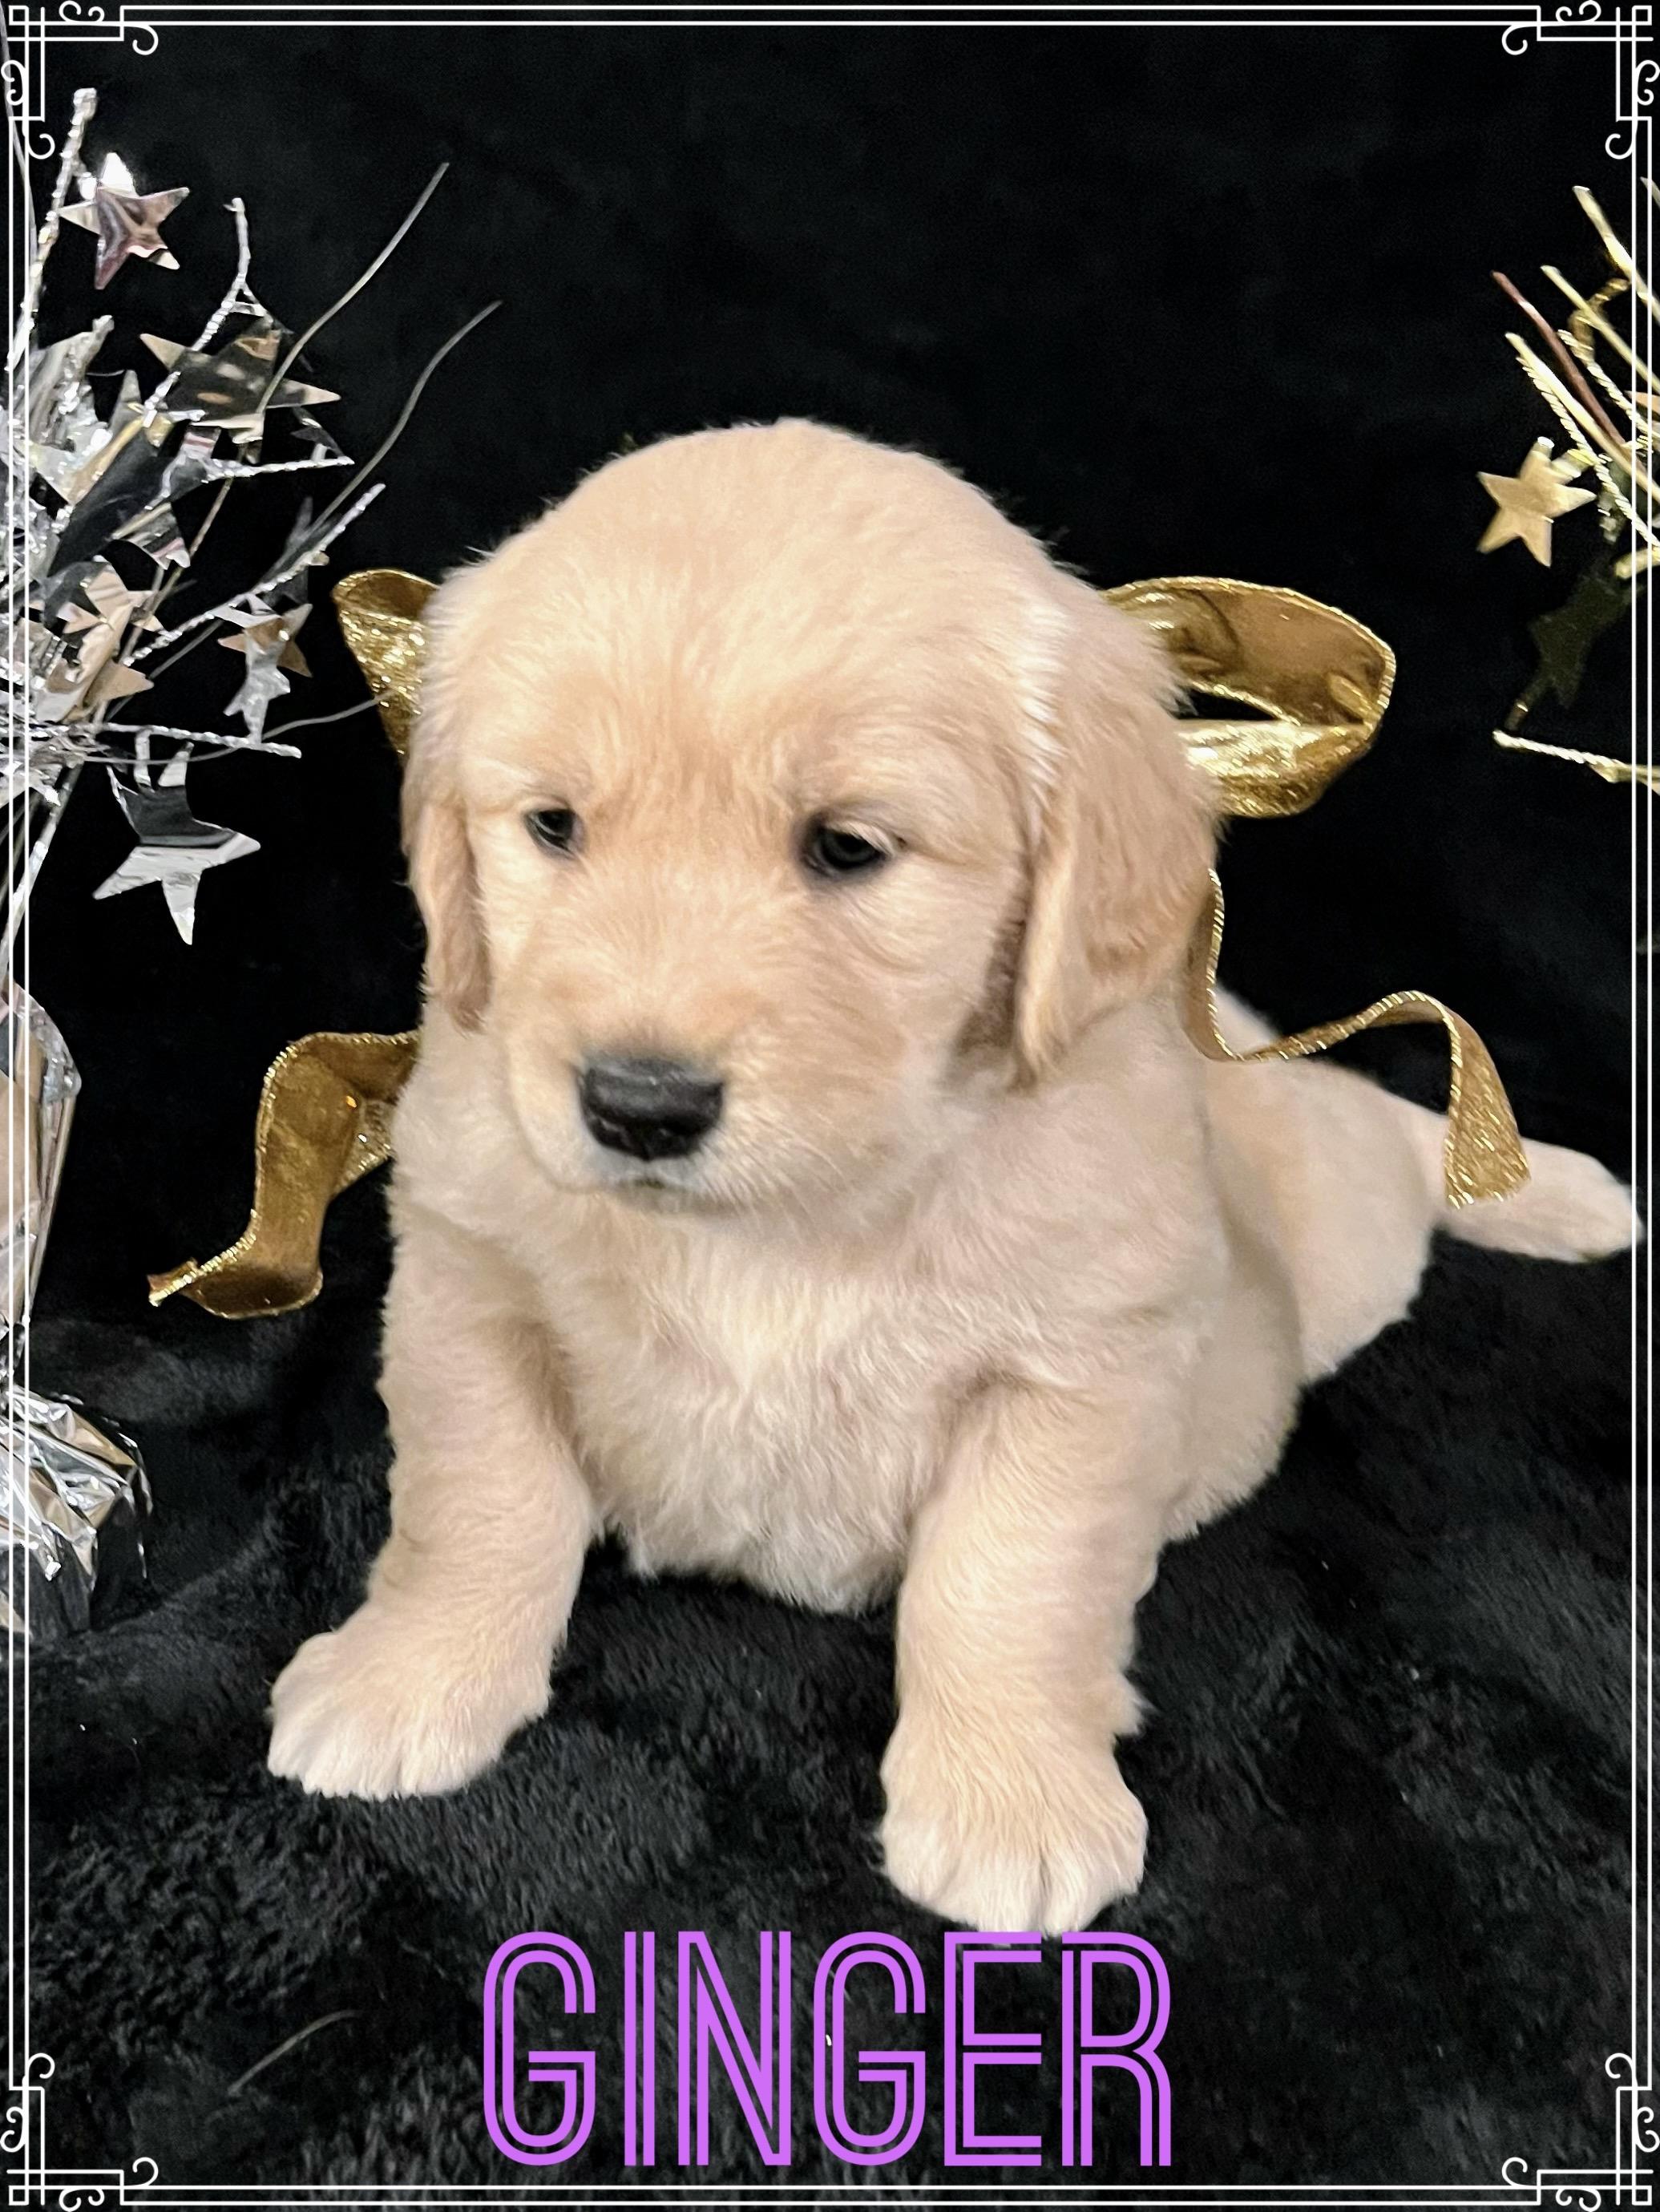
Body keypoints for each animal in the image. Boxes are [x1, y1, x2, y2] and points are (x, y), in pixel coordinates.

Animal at [268, 420, 1634, 1932]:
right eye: (554, 826)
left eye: (847, 847)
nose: (638, 1105)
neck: (798, 1204)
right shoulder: (469, 1285)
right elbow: (475, 1502)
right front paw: (408, 1672)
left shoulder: (1077, 1370)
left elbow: (1005, 1582)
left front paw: (1009, 1797)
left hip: (1335, 1218)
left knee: (1380, 1128)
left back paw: (1550, 1186)